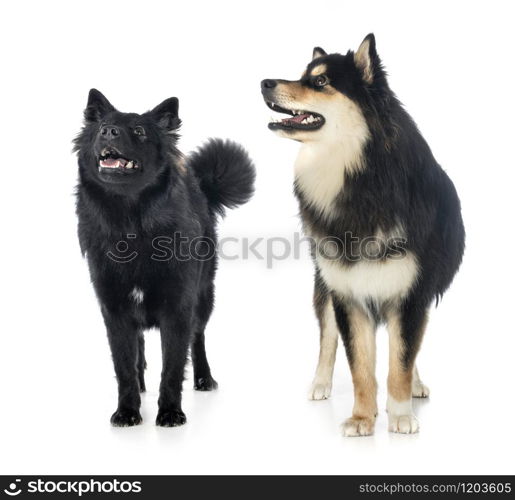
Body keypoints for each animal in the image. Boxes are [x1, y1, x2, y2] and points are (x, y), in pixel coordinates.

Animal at [73, 89, 255, 426]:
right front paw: (127, 411)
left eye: (140, 131)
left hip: (204, 296)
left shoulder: (178, 307)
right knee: (140, 347)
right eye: (102, 126)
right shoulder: (115, 309)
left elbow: (172, 366)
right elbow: (124, 367)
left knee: (198, 339)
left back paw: (204, 379)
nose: (109, 132)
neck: (130, 223)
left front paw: (170, 412)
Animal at [260, 34, 466, 434]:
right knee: (327, 337)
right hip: (325, 284)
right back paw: (320, 382)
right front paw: (361, 417)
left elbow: (401, 359)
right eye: (303, 75)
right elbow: (360, 366)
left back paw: (415, 385)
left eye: (321, 82)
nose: (264, 83)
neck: (361, 176)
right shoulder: (347, 295)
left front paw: (400, 415)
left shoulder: (411, 294)